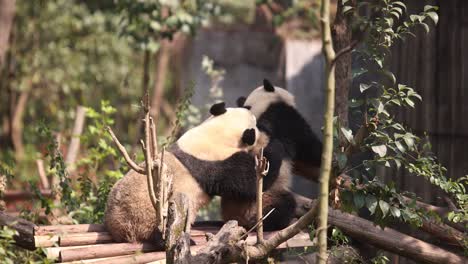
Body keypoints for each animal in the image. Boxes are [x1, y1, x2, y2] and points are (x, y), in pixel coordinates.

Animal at [104, 102, 262, 242]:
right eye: (255, 124)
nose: (248, 106)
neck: (217, 132)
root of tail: (121, 229)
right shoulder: (218, 163)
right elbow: (248, 183)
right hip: (150, 213)